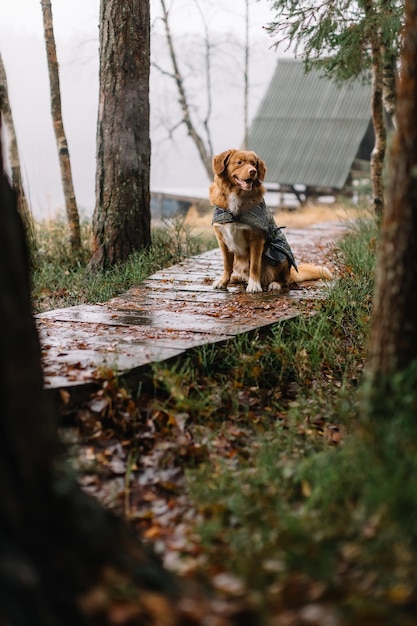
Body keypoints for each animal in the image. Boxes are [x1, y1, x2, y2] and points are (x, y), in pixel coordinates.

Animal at [208, 147, 332, 292]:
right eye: (239, 162)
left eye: (253, 164)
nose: (253, 171)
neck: (237, 196)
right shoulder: (223, 240)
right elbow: (227, 266)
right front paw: (223, 282)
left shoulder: (256, 239)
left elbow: (254, 265)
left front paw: (254, 285)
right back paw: (236, 278)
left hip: (282, 255)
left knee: (285, 280)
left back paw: (275, 283)